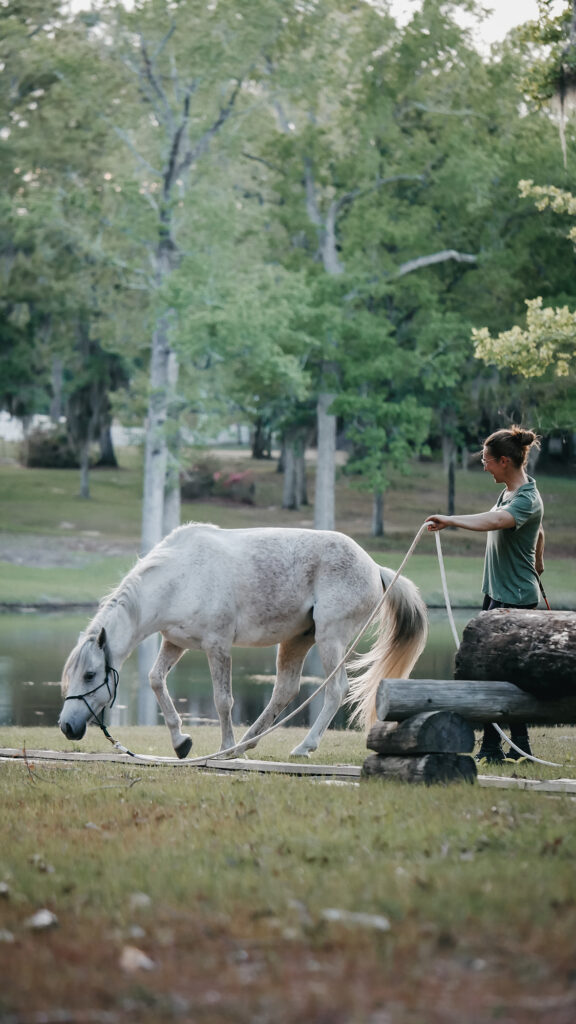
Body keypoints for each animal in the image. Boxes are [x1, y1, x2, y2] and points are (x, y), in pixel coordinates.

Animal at [59, 523, 428, 758]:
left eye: (90, 675)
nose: (66, 726)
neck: (180, 576)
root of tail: (375, 568)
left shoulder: (218, 646)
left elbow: (223, 701)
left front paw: (222, 748)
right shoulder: (175, 643)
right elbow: (155, 680)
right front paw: (181, 741)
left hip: (330, 639)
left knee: (335, 689)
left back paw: (301, 747)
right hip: (297, 641)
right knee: (285, 690)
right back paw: (247, 744)